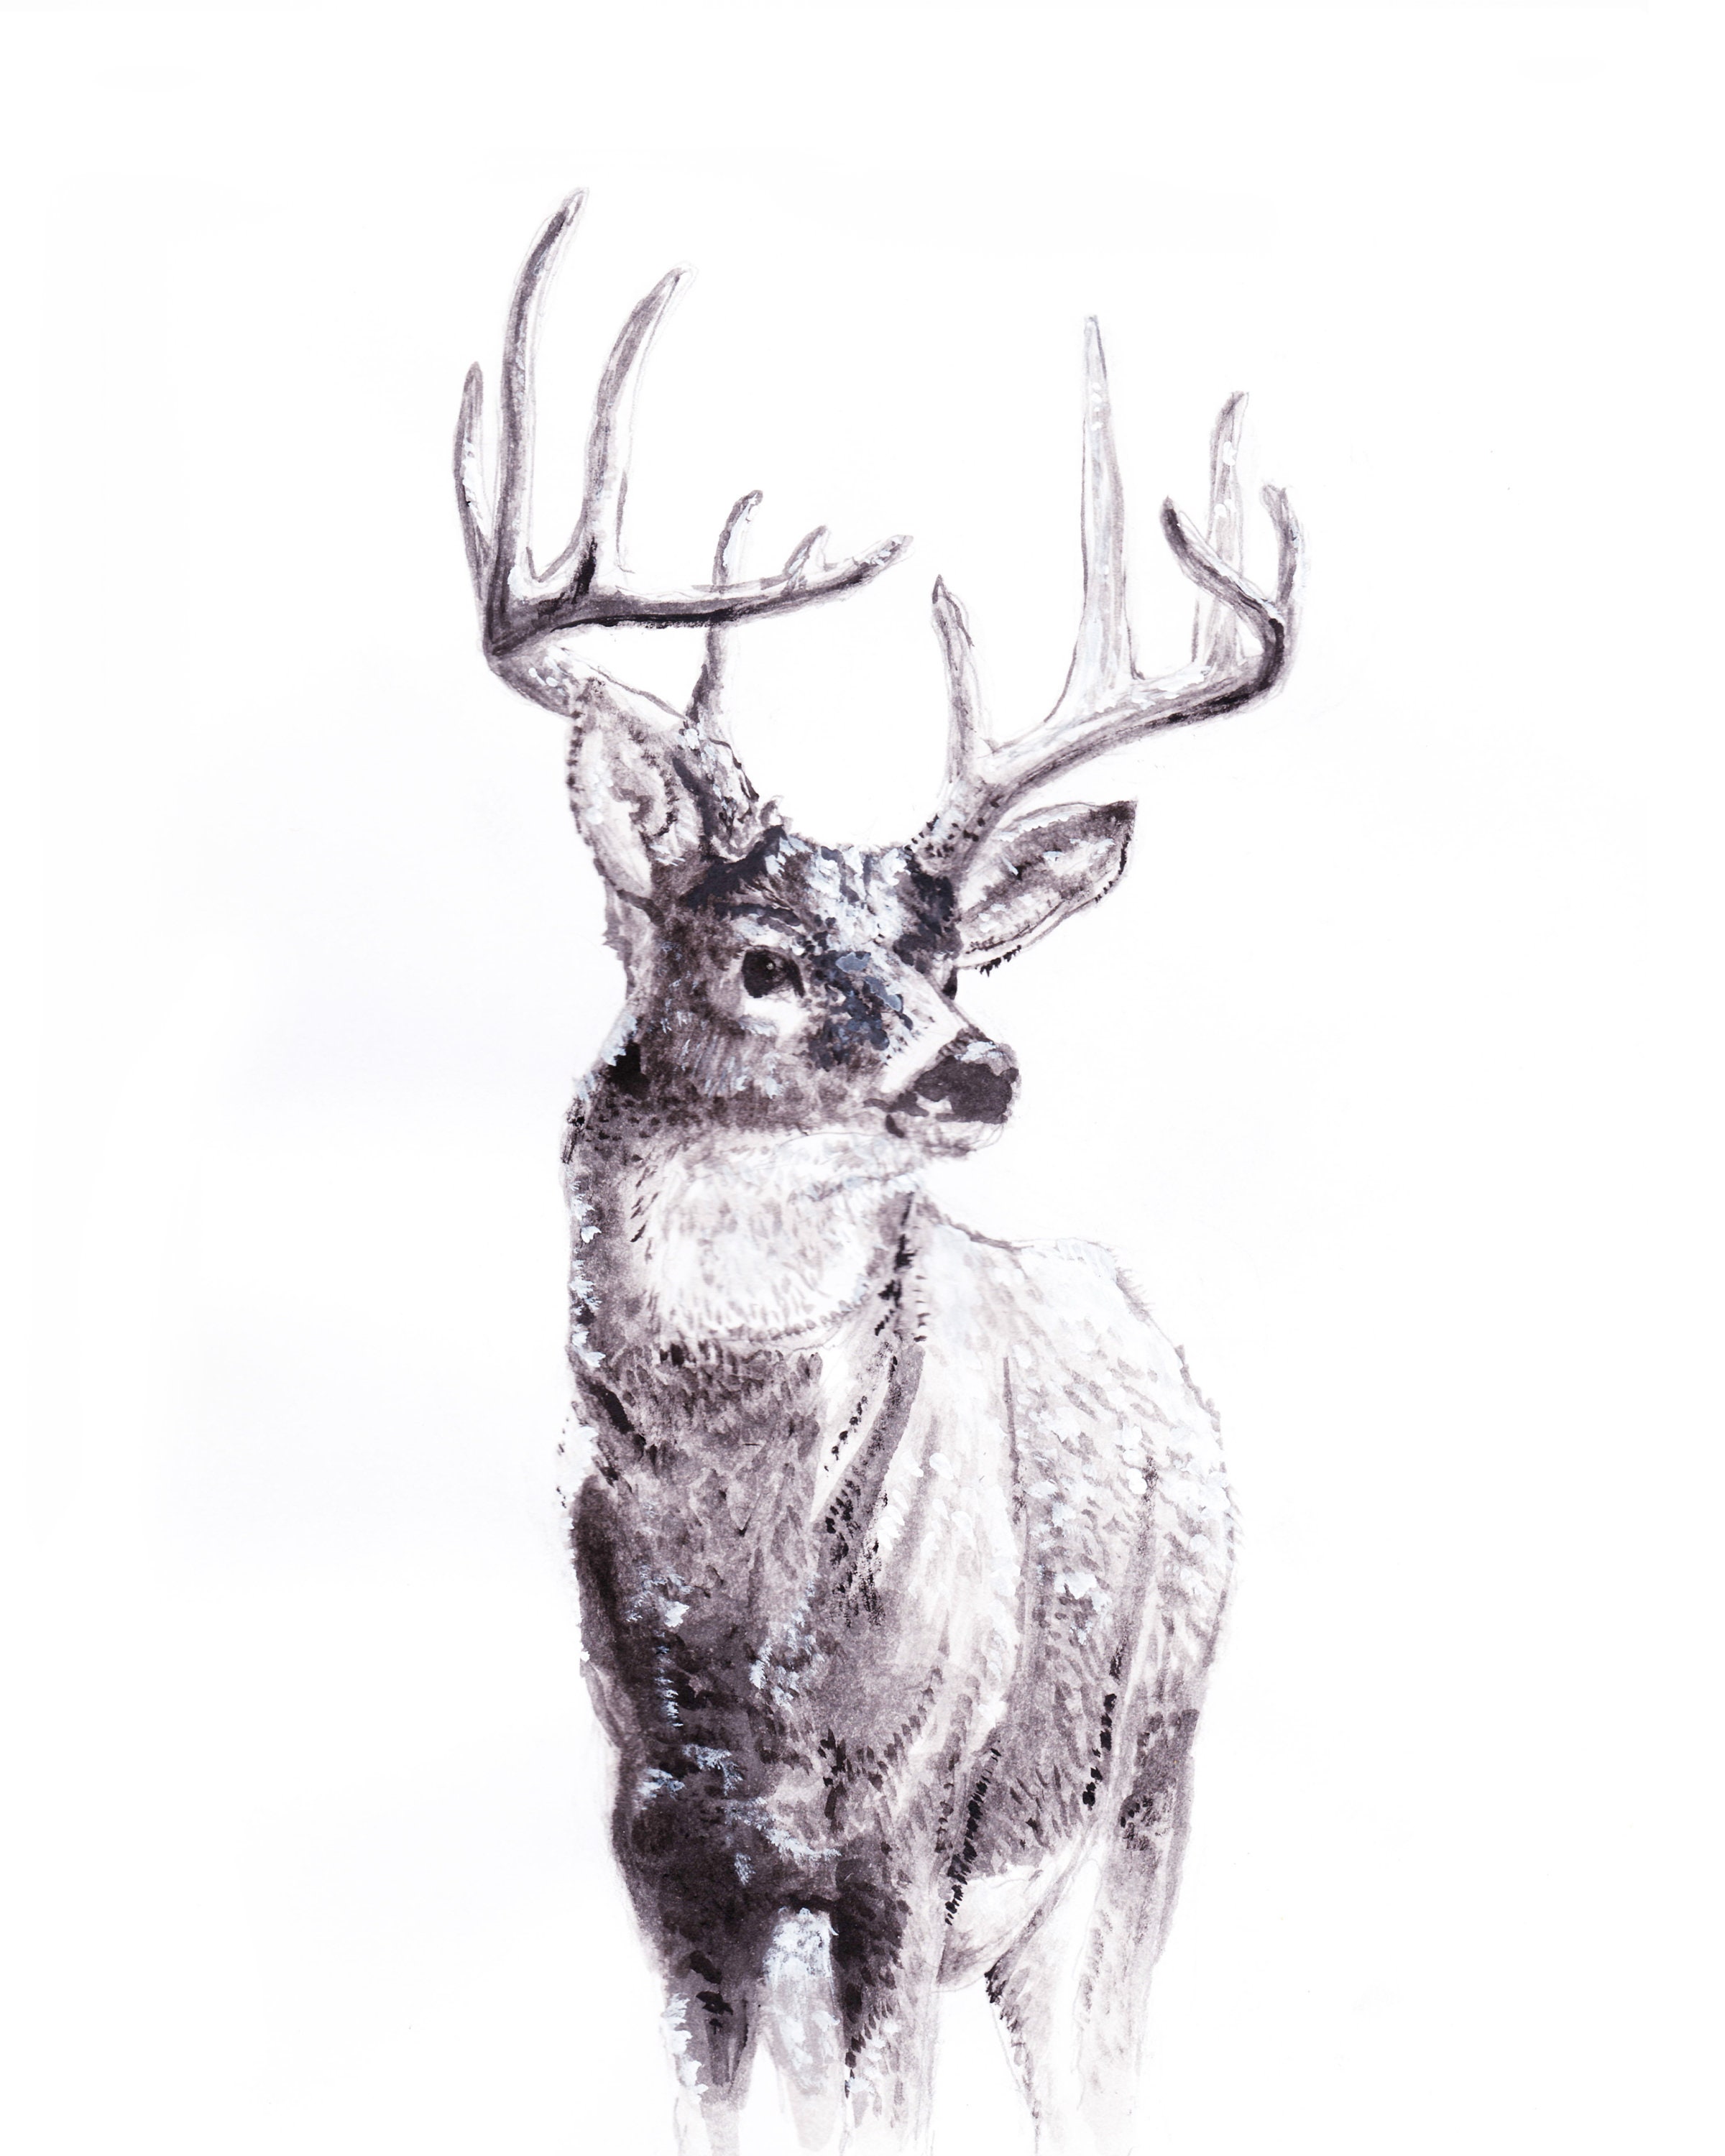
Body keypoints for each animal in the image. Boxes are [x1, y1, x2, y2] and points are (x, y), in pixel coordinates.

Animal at [455, 194, 1299, 2156]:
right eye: (762, 956)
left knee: (1100, 2071)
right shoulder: (666, 1856)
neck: (747, 1650)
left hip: (1137, 1795)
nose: (980, 1067)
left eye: (956, 962)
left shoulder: (907, 1846)